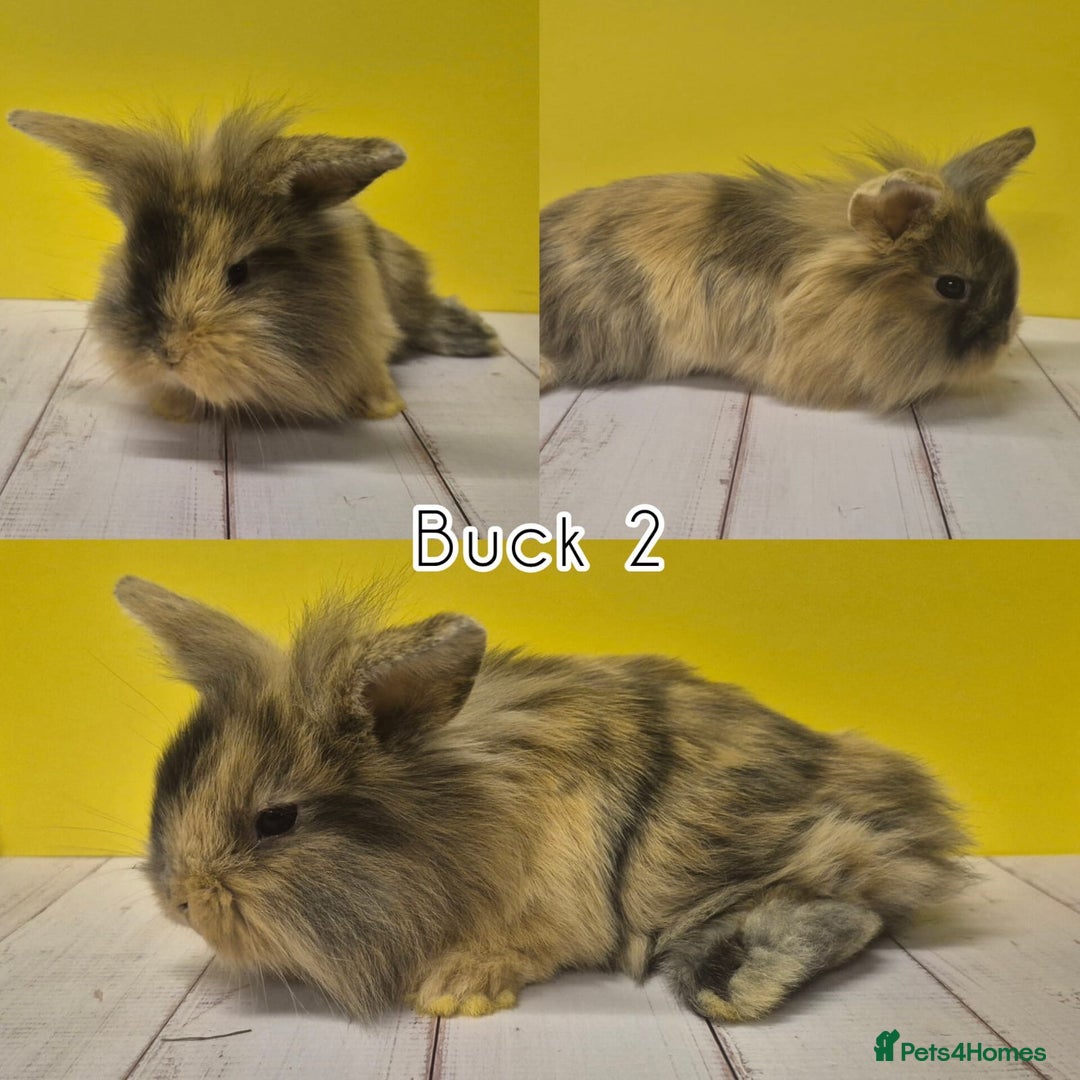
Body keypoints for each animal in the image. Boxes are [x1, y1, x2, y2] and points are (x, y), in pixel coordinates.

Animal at [116, 576, 969, 1022]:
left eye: (277, 820)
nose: (178, 901)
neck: (465, 812)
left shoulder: (553, 910)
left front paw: (454, 992)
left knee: (849, 912)